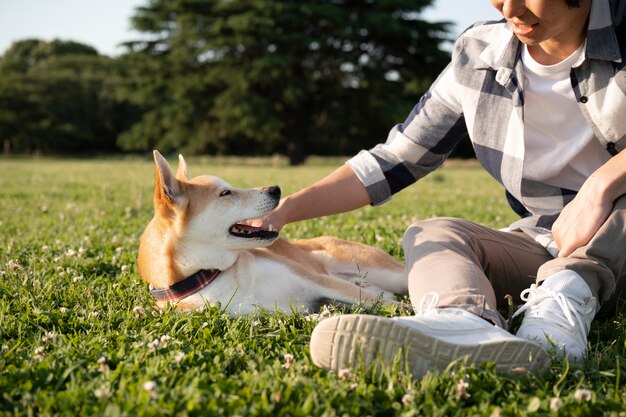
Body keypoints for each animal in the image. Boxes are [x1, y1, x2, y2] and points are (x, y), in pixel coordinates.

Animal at [137, 151, 408, 314]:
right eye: (225, 193)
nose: (275, 189)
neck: (211, 276)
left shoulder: (318, 280)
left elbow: (389, 305)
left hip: (386, 273)